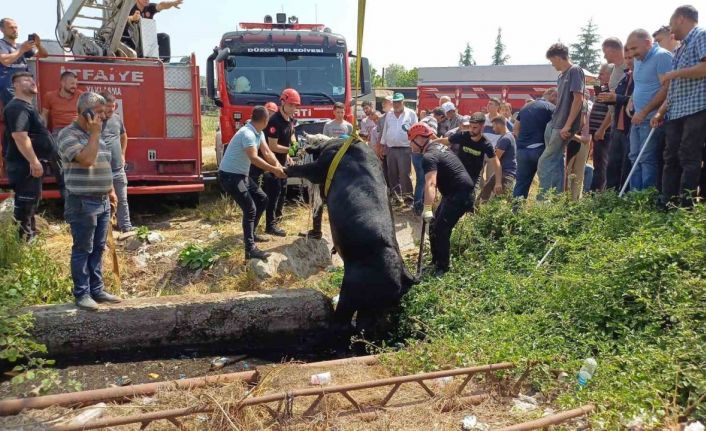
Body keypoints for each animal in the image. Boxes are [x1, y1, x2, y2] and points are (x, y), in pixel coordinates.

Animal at [284, 140, 418, 330]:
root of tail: (403, 277)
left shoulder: (319, 166)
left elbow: (304, 169)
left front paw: (284, 168)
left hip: (350, 291)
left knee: (343, 319)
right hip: (378, 306)